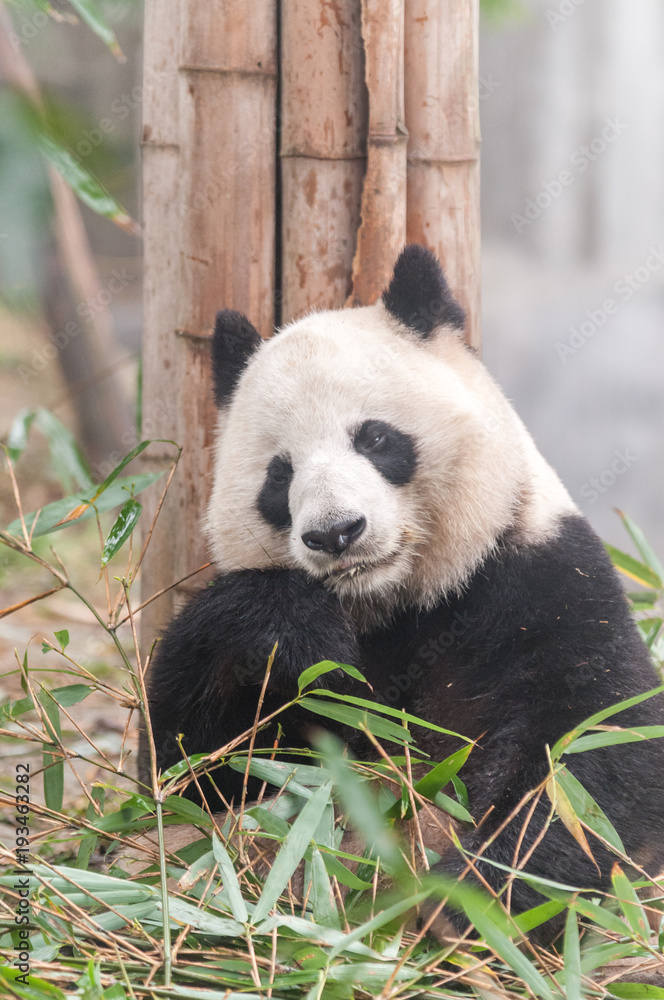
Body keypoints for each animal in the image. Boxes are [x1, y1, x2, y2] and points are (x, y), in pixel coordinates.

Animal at [140, 244, 664, 935]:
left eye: (376, 438)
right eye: (280, 475)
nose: (336, 532)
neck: (397, 603)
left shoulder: (539, 581)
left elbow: (591, 760)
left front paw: (464, 902)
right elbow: (194, 773)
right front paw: (294, 630)